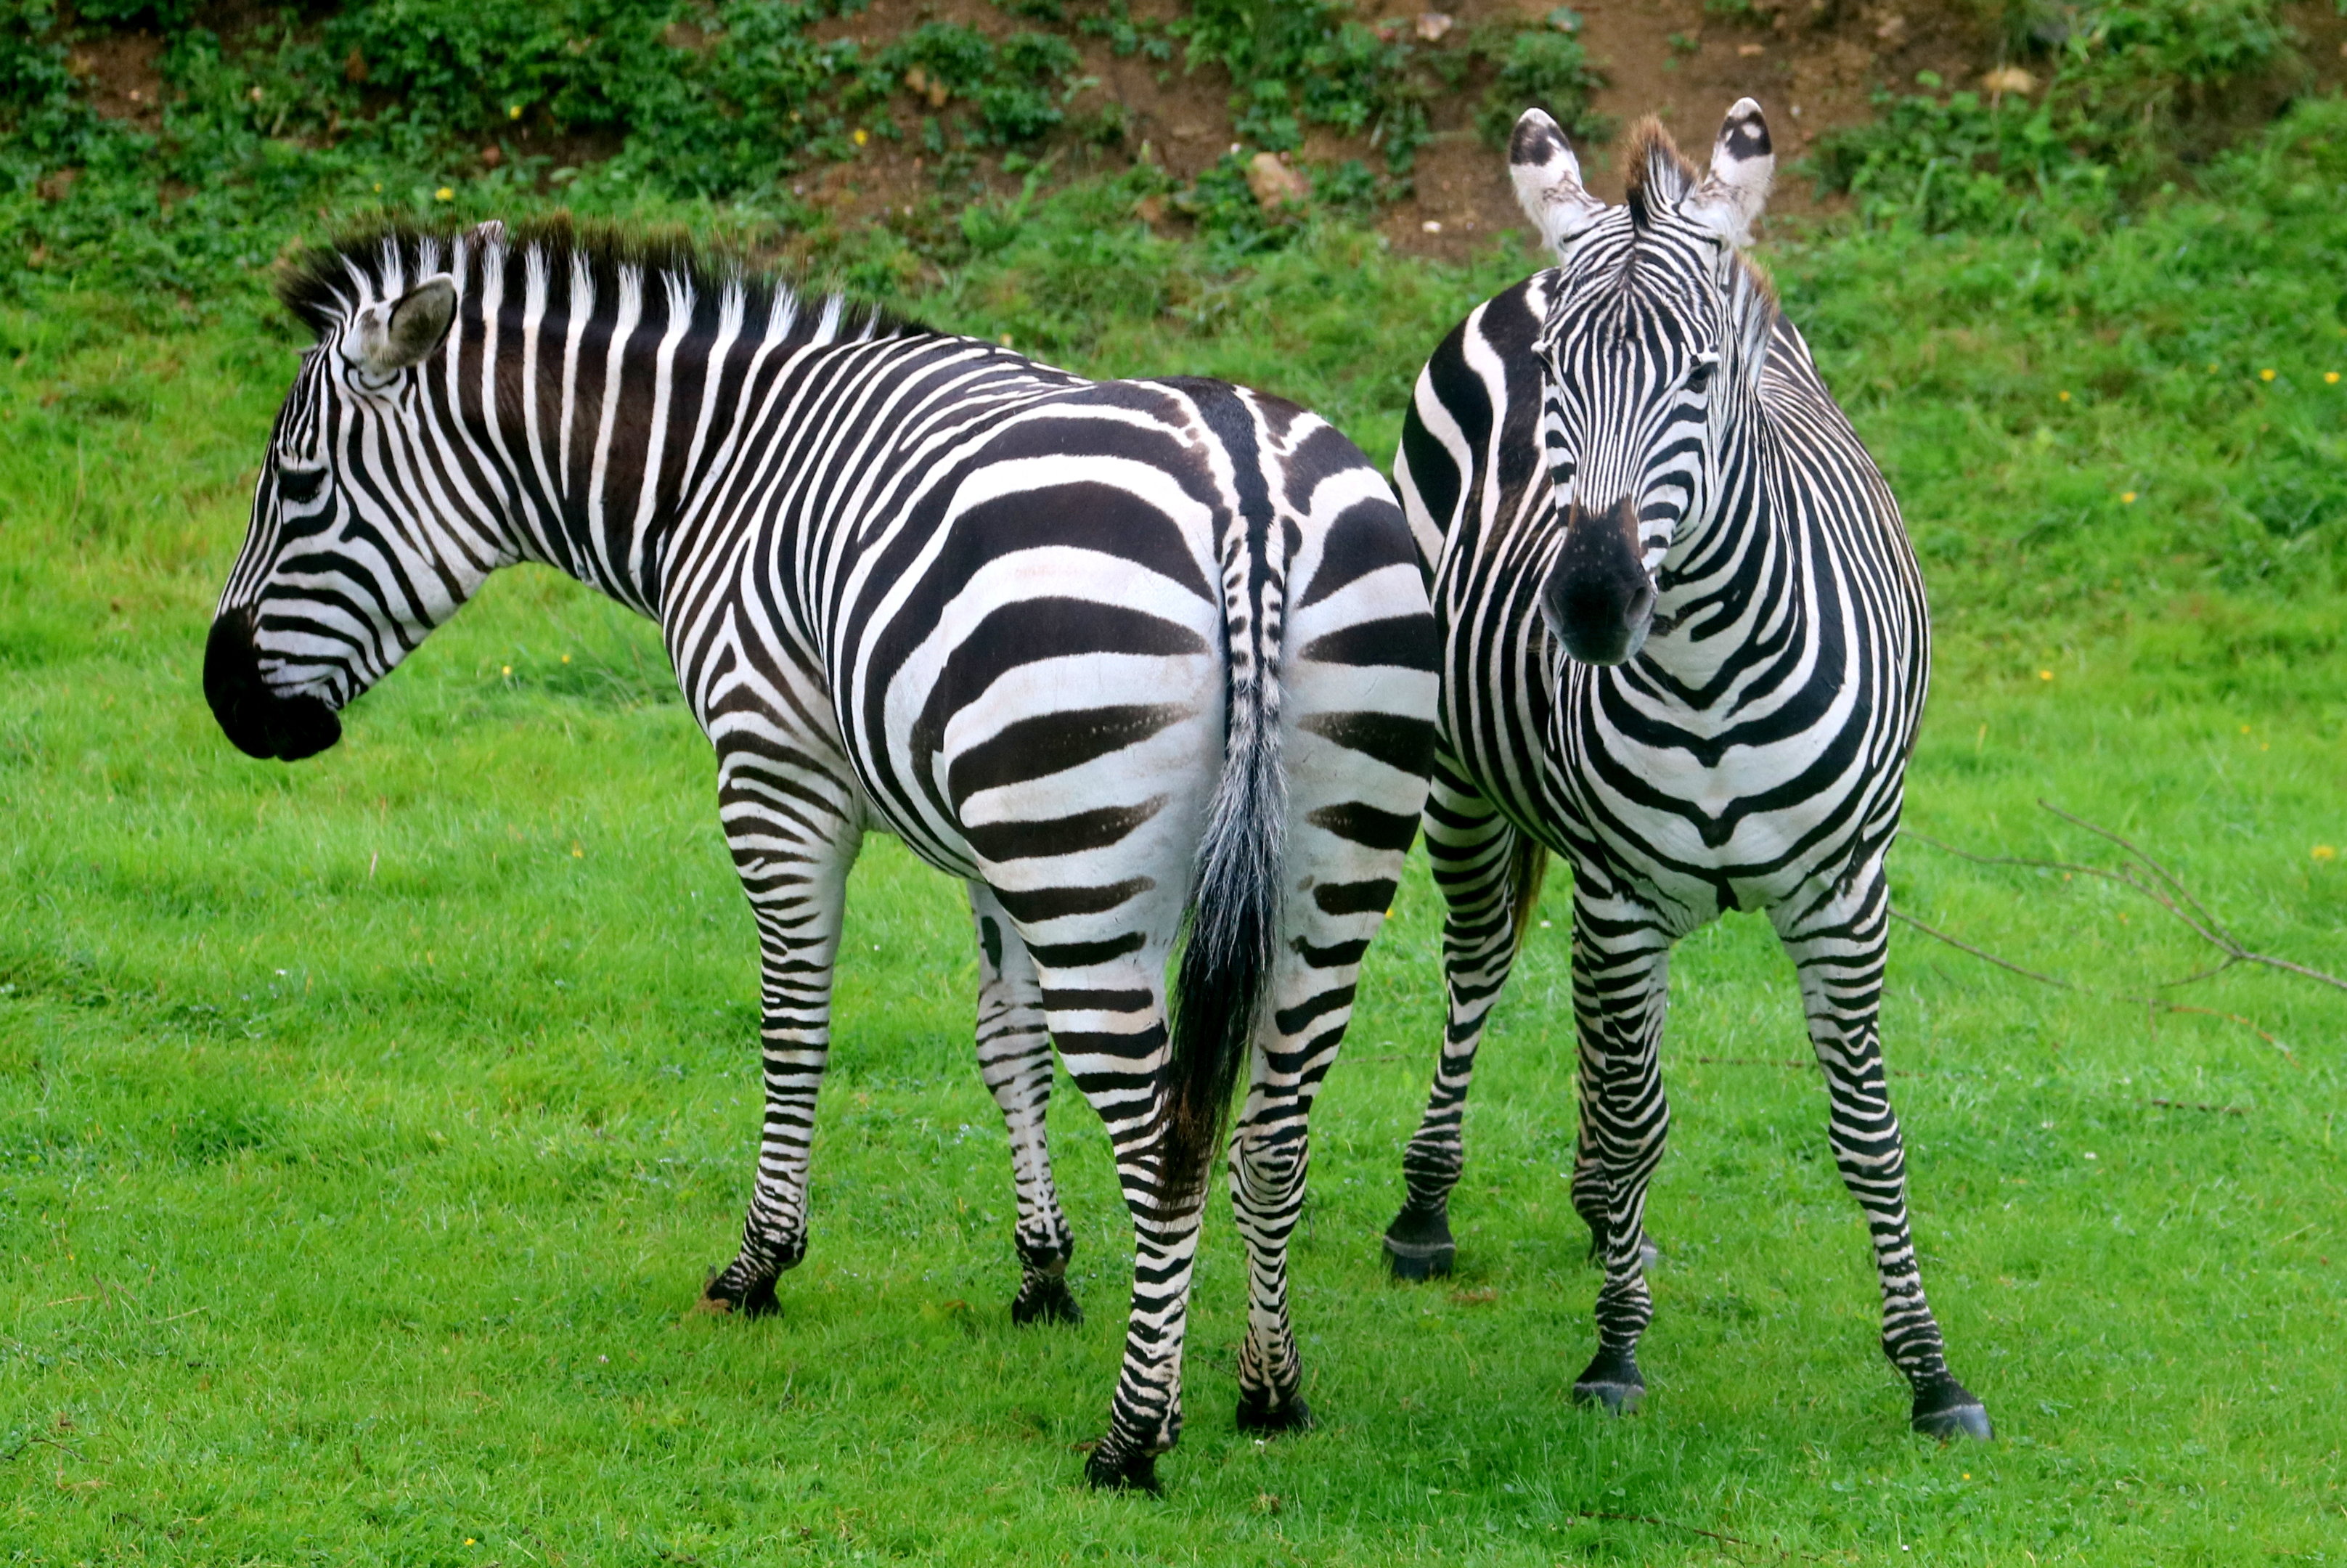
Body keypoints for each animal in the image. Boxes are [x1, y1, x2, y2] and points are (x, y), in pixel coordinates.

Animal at [203, 217, 1438, 1491]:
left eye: (296, 487)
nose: (226, 705)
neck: (717, 471)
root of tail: (1248, 492)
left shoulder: (778, 777)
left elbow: (793, 1030)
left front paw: (760, 1265)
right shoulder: (996, 851)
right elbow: (1007, 1048)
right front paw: (1042, 1269)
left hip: (1093, 871)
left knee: (1166, 1143)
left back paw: (1133, 1436)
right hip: (1320, 867)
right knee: (1273, 1130)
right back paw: (1269, 1389)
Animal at [1377, 102, 1990, 1440]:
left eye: (1702, 380)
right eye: (1558, 381)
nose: (1594, 605)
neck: (1707, 674)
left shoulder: (1843, 897)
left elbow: (1867, 1132)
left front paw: (1929, 1372)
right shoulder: (1621, 895)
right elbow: (1634, 1118)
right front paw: (1615, 1349)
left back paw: (1594, 1215)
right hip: (1459, 783)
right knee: (1479, 969)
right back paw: (1429, 1208)